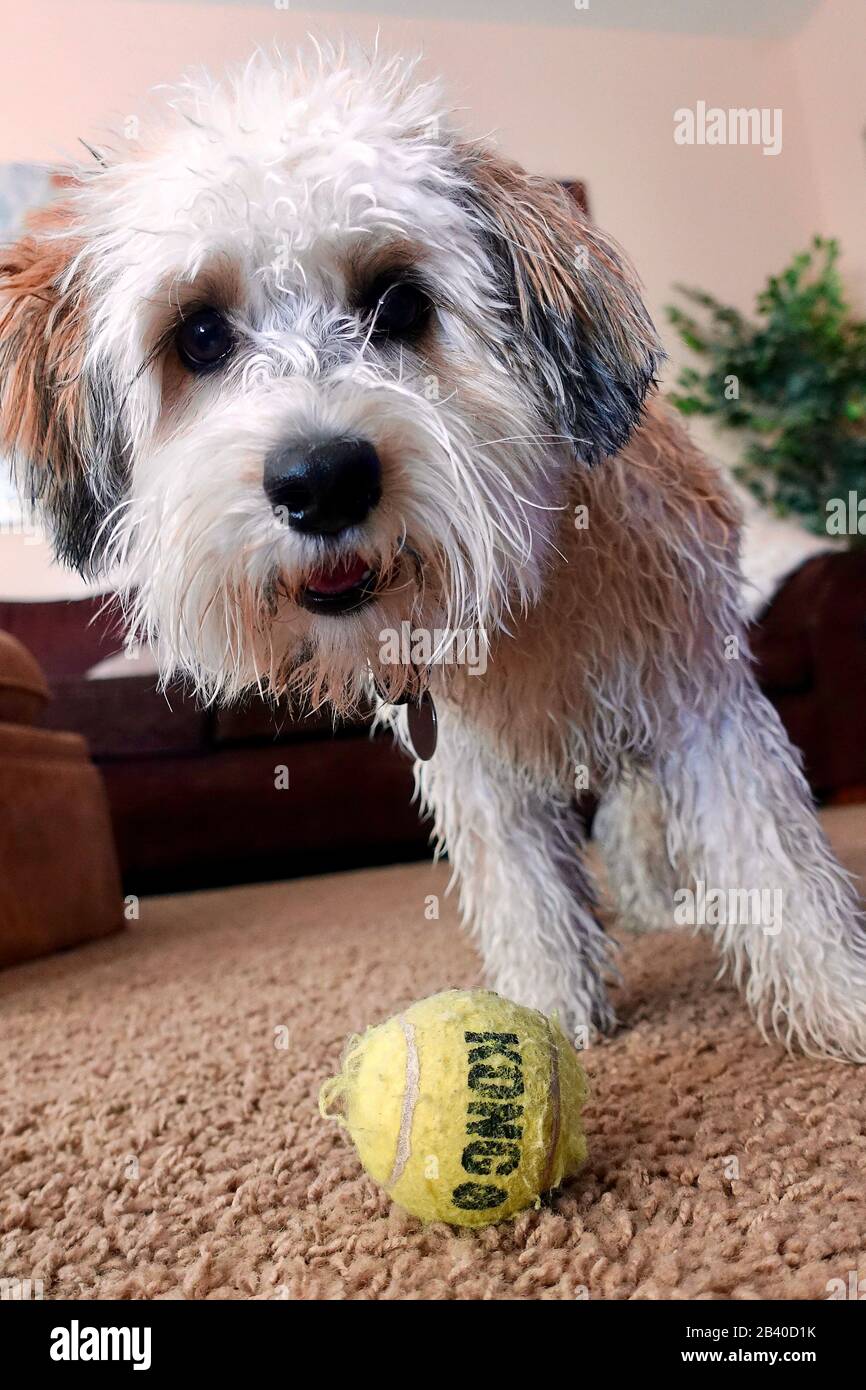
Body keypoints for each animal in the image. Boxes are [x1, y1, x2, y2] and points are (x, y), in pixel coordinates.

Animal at [5, 48, 866, 1056]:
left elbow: (772, 862)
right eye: (202, 335)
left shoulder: (702, 704)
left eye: (401, 303)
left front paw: (839, 1001)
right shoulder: (472, 769)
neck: (530, 583)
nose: (322, 479)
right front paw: (548, 1014)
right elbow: (527, 899)